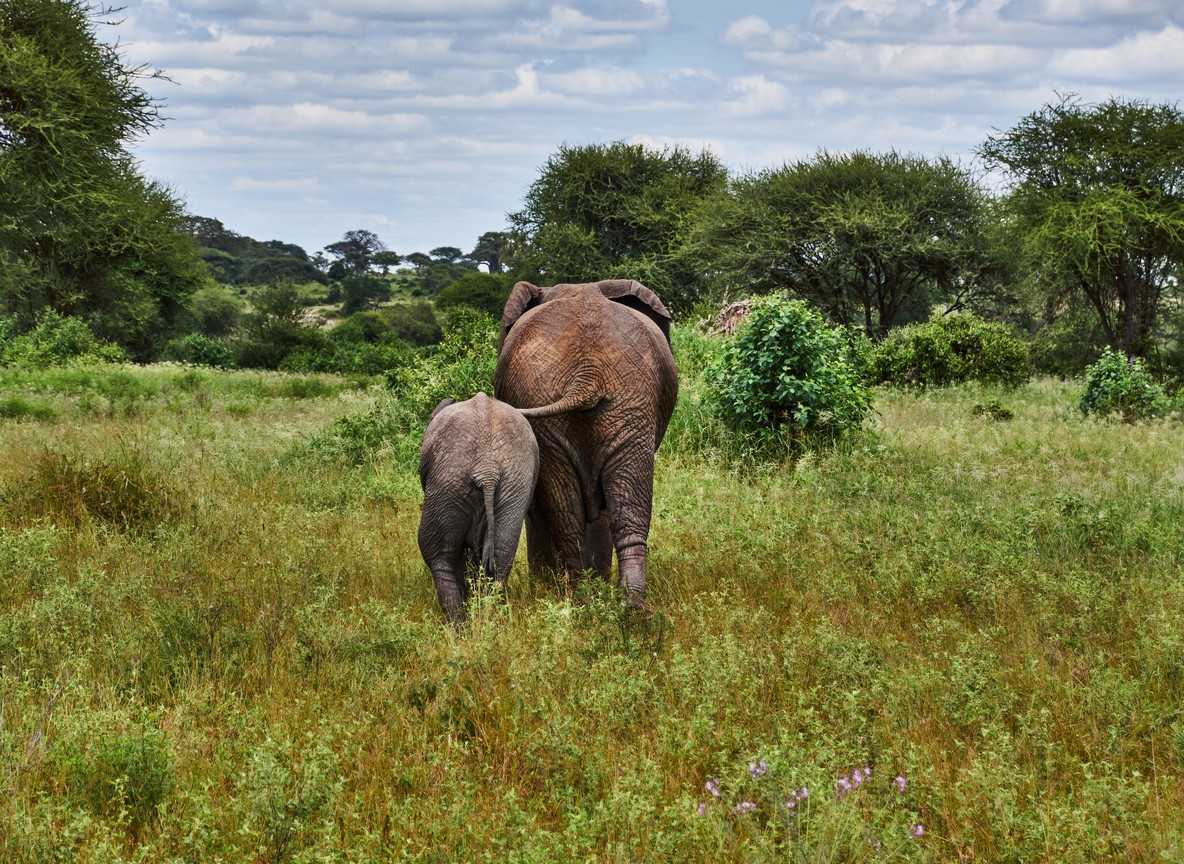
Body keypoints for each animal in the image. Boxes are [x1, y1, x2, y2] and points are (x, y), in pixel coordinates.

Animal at [417, 392, 539, 624]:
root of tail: (487, 469)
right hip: (513, 485)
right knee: (501, 555)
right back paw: (488, 621)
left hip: (448, 482)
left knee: (437, 554)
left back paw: (458, 628)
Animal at [493, 279, 678, 607]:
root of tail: (587, 373)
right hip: (622, 404)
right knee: (609, 511)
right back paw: (616, 605)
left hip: (622, 405)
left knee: (587, 513)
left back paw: (599, 602)